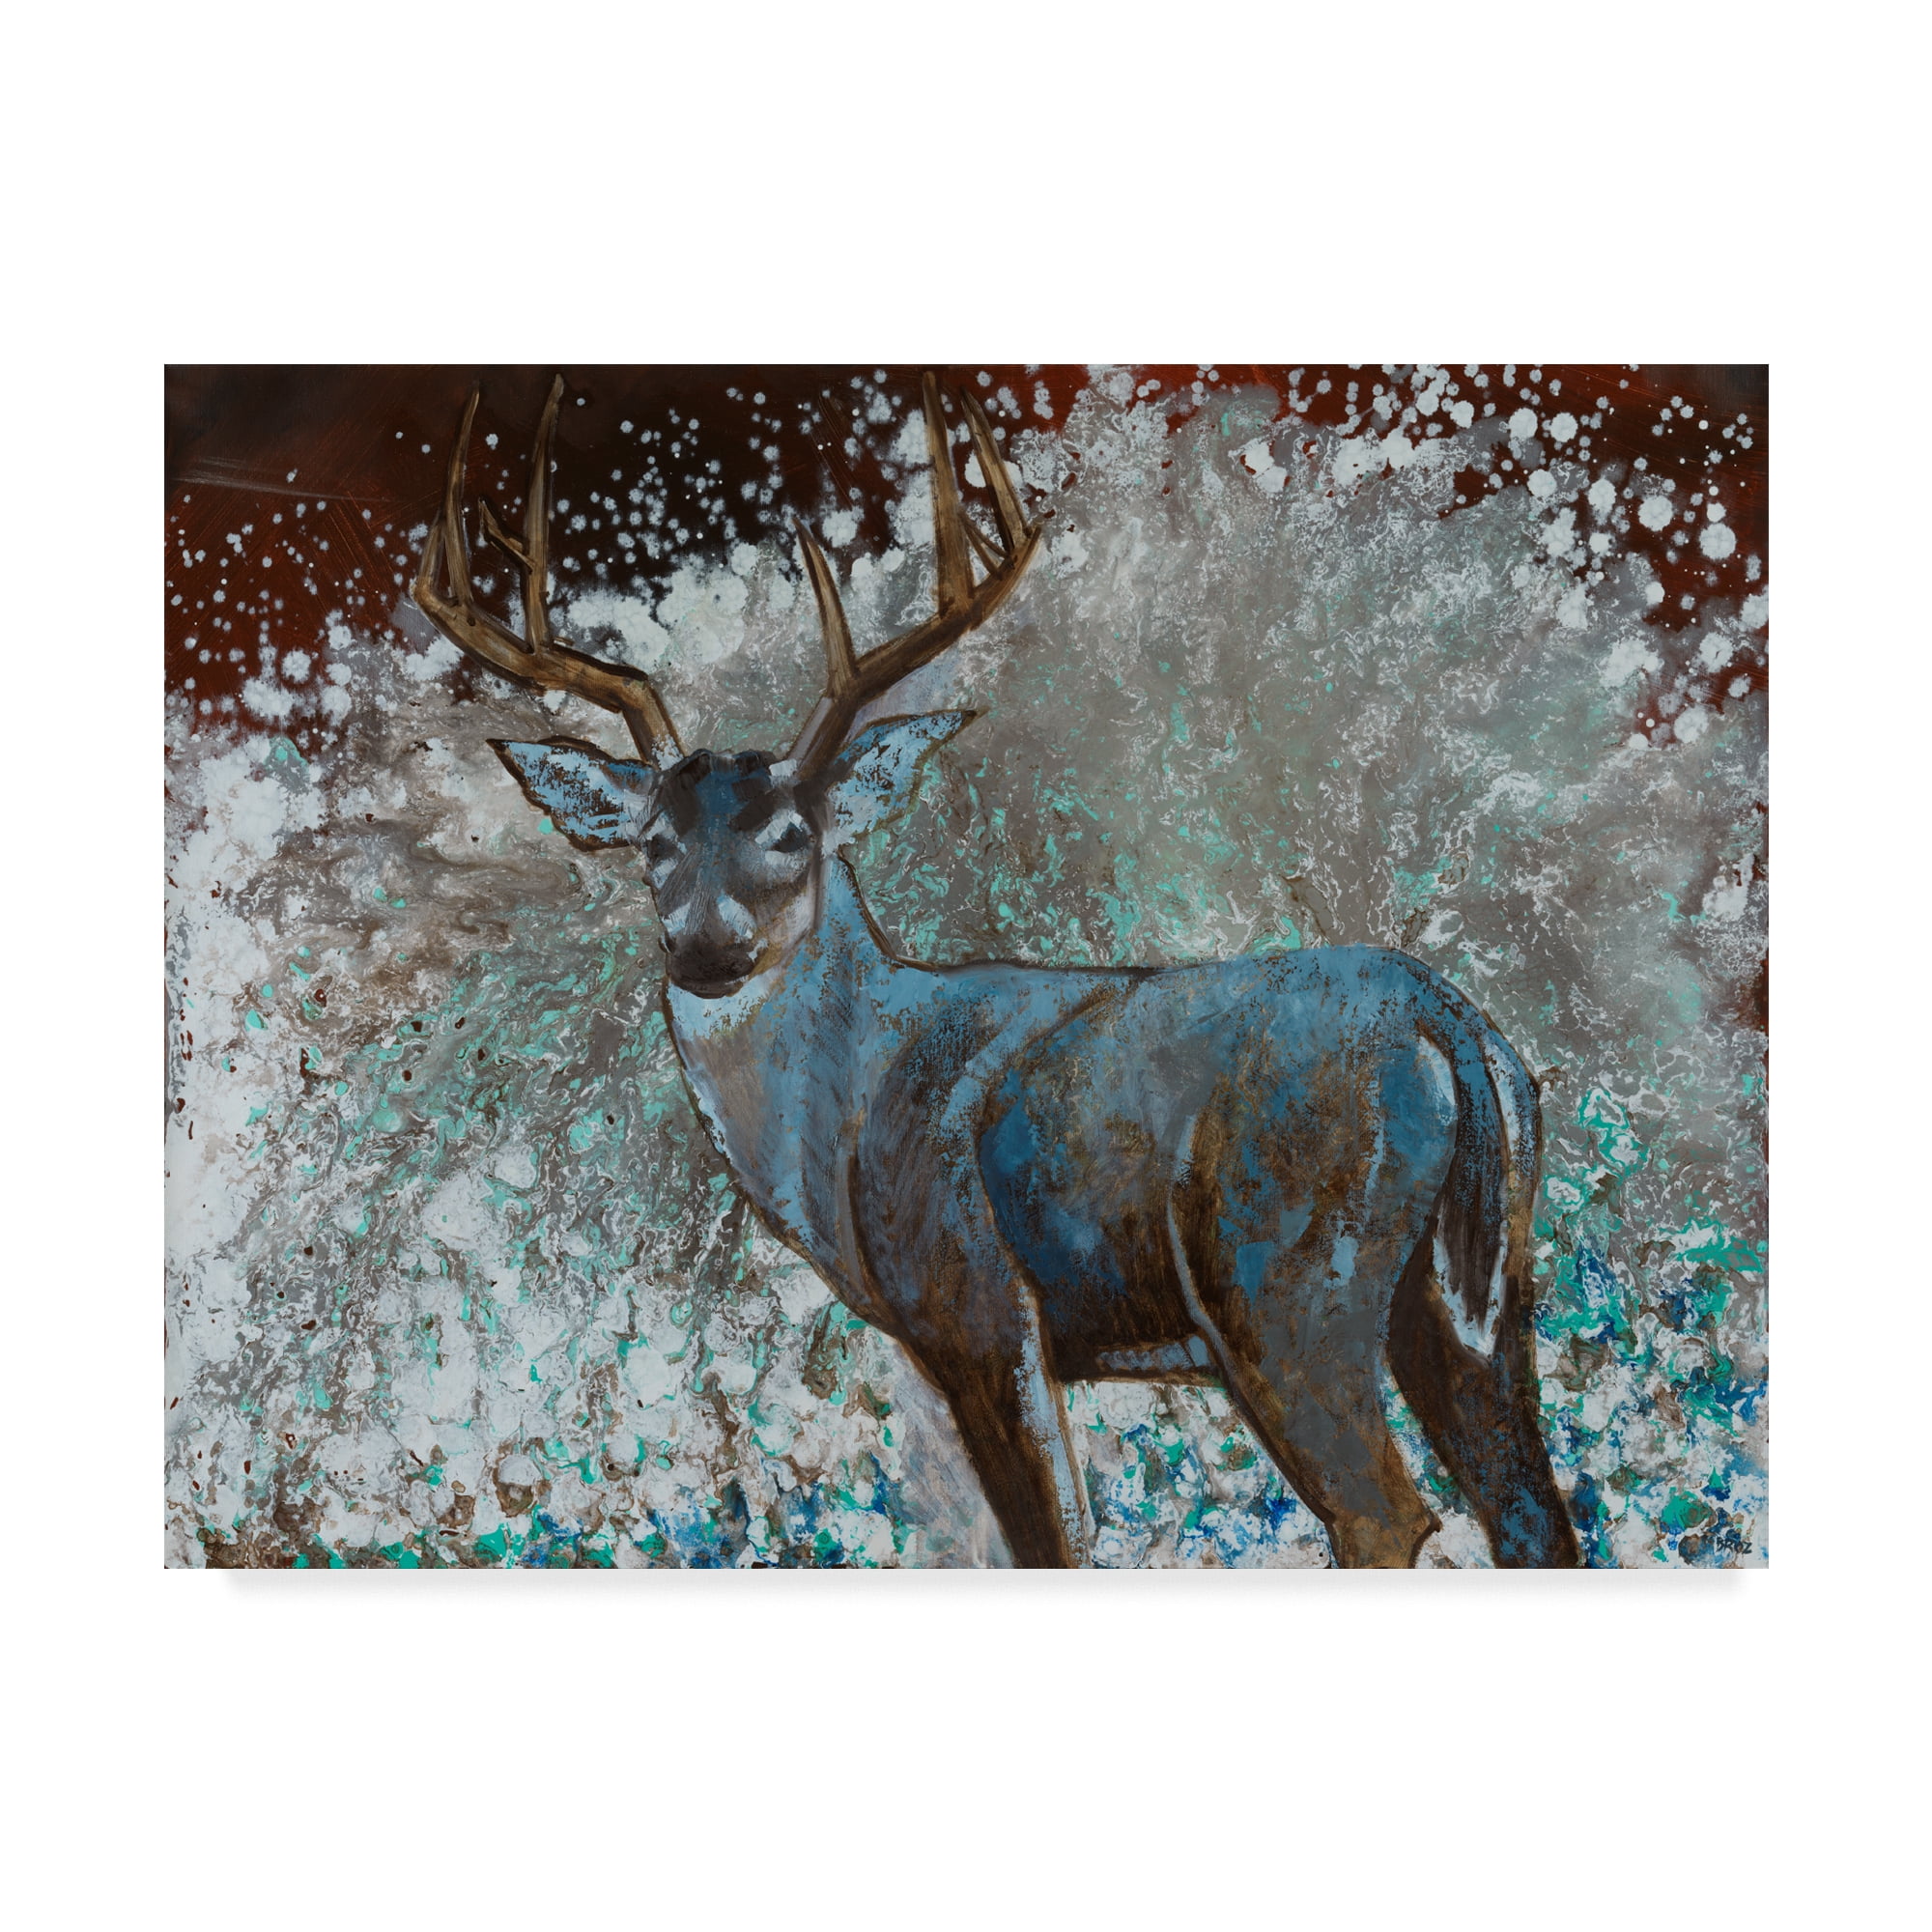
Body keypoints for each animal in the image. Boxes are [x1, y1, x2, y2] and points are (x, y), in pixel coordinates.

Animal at [407, 371, 1582, 1569]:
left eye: (791, 831)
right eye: (651, 841)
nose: (704, 946)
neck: (845, 1115)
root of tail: (1452, 1024)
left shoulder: (975, 1298)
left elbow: (1053, 1538)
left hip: (1285, 1274)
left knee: (1385, 1510)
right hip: (1475, 1293)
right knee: (1535, 1514)